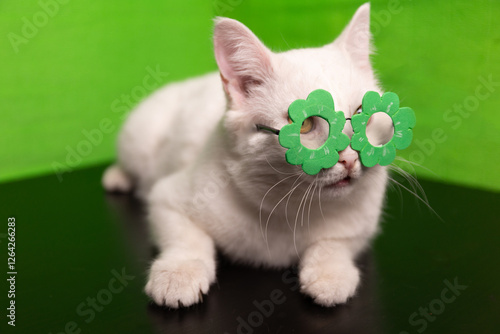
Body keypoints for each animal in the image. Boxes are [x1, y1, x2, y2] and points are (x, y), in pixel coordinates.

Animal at [102, 3, 390, 308]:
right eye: (306, 125)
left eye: (362, 114)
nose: (349, 158)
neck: (289, 207)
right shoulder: (167, 199)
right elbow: (186, 240)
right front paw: (178, 275)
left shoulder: (362, 226)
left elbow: (334, 244)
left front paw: (330, 275)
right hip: (139, 139)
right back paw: (117, 177)